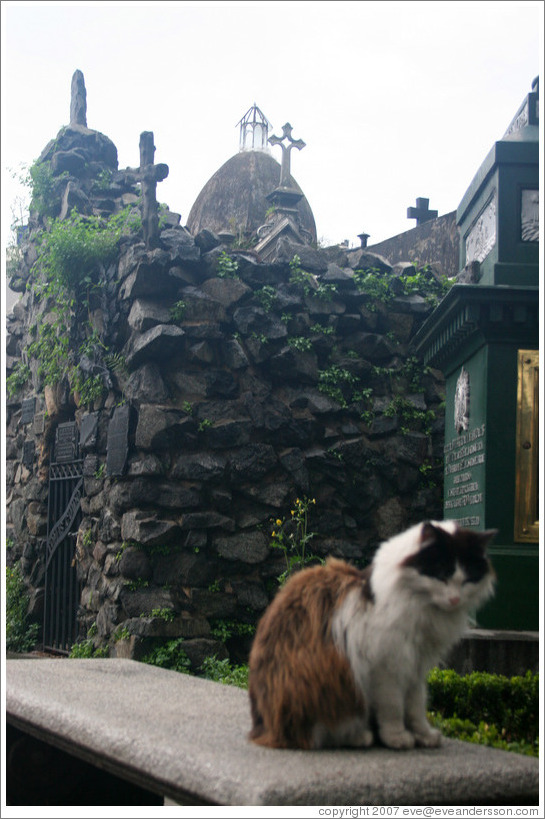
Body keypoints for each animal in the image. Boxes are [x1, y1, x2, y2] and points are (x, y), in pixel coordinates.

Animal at [249, 524, 496, 752]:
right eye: (442, 573)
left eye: (468, 579)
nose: (454, 599)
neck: (421, 608)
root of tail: (262, 727)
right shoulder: (386, 668)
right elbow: (394, 709)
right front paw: (398, 738)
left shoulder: (416, 667)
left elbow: (416, 708)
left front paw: (424, 736)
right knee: (320, 734)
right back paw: (362, 737)